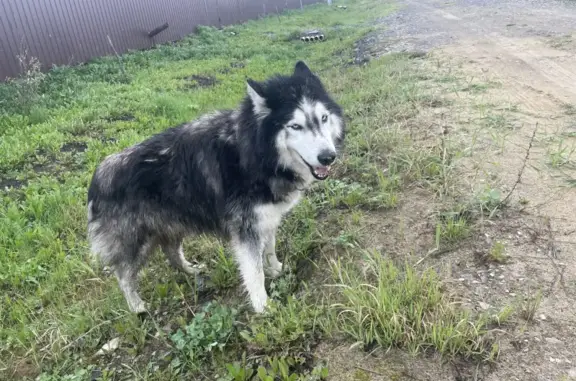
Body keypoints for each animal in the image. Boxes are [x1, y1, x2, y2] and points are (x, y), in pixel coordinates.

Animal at [88, 61, 344, 312]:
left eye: (323, 118)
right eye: (295, 126)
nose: (328, 157)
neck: (252, 153)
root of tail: (97, 178)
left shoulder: (267, 218)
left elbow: (270, 249)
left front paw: (276, 269)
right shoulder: (245, 230)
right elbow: (254, 272)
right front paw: (263, 306)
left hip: (172, 225)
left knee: (171, 252)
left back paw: (191, 270)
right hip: (136, 242)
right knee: (123, 276)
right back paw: (137, 307)